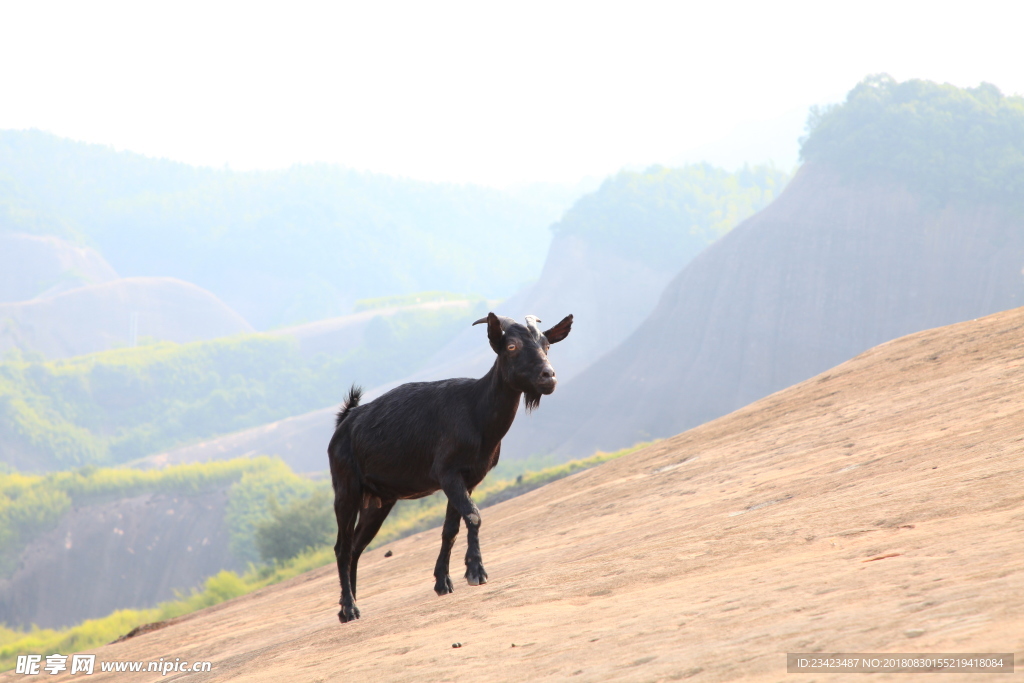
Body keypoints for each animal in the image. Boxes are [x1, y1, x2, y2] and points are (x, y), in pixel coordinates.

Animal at [327, 313, 573, 622]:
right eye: (511, 347)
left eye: (546, 344)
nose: (548, 377)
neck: (477, 412)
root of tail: (343, 424)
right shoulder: (447, 473)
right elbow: (474, 516)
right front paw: (476, 572)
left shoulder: (469, 478)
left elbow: (451, 528)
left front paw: (443, 582)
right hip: (346, 489)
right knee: (342, 547)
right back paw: (349, 608)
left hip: (380, 500)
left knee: (357, 546)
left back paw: (348, 605)